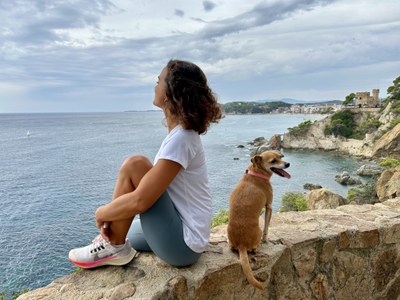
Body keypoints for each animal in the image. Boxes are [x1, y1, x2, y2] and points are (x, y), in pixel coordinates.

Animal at [228, 151, 290, 290]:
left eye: (281, 156)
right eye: (273, 161)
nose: (288, 164)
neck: (256, 172)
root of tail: (241, 245)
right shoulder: (269, 206)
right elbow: (267, 226)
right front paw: (266, 239)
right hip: (259, 231)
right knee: (255, 247)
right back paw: (258, 246)